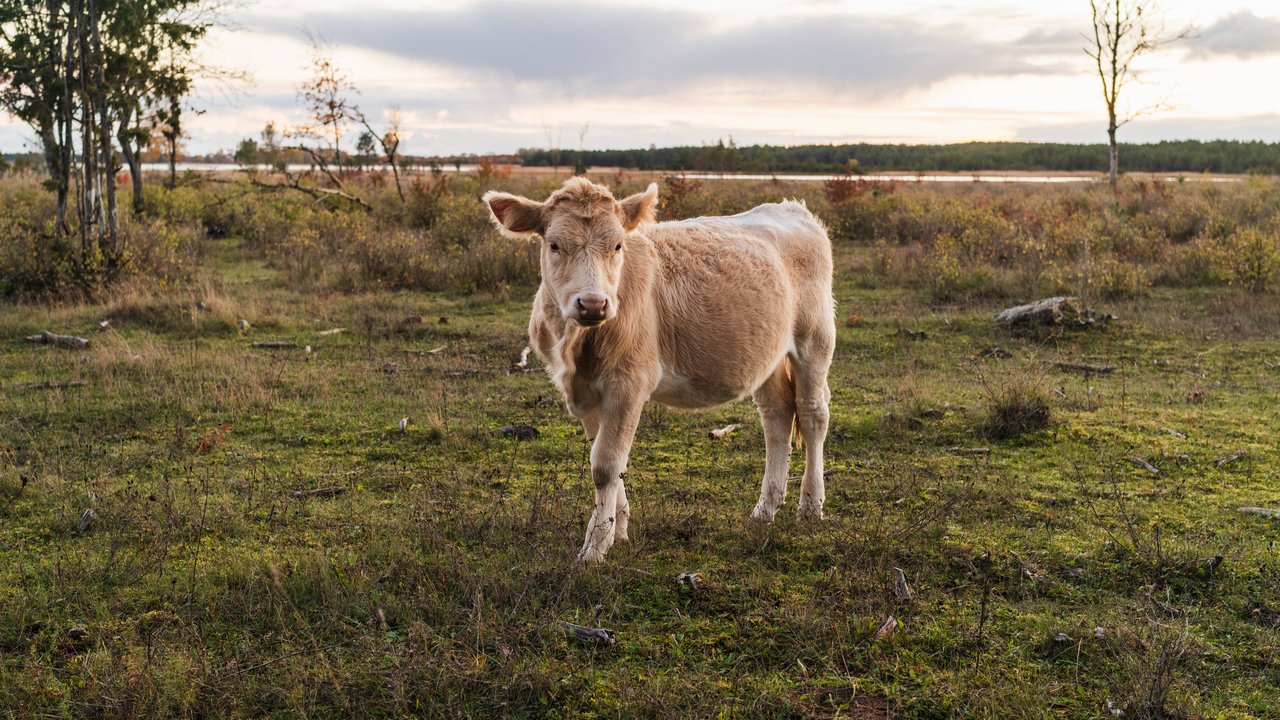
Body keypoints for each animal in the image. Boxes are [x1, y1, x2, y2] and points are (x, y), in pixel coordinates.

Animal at [483, 178, 834, 561]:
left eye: (617, 245)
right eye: (554, 244)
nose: (593, 303)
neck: (578, 347)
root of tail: (792, 208)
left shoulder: (629, 383)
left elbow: (605, 464)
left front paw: (594, 548)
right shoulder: (584, 392)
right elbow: (605, 458)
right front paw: (618, 529)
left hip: (815, 339)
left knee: (813, 415)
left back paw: (810, 507)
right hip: (767, 355)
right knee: (778, 417)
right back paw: (764, 510)